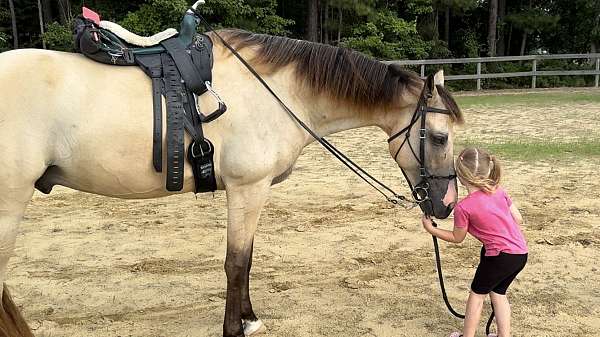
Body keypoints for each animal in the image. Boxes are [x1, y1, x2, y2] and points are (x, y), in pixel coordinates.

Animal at [0, 27, 462, 334]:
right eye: (440, 137)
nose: (446, 206)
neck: (281, 92)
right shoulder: (247, 188)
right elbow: (236, 263)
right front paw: (234, 328)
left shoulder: (251, 193)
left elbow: (248, 259)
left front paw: (249, 318)